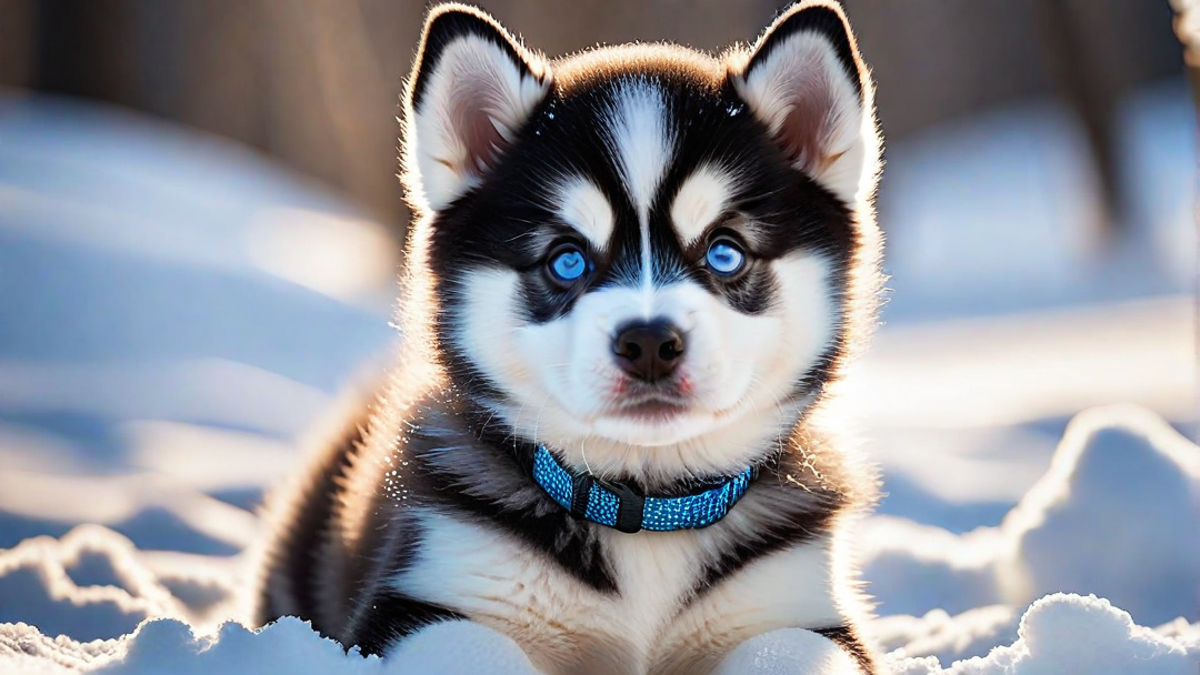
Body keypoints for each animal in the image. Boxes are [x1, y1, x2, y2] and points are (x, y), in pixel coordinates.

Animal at [258, 2, 888, 667]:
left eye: (725, 253)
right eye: (567, 260)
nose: (649, 344)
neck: (644, 510)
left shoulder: (800, 607)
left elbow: (784, 649)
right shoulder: (426, 597)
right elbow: (474, 648)